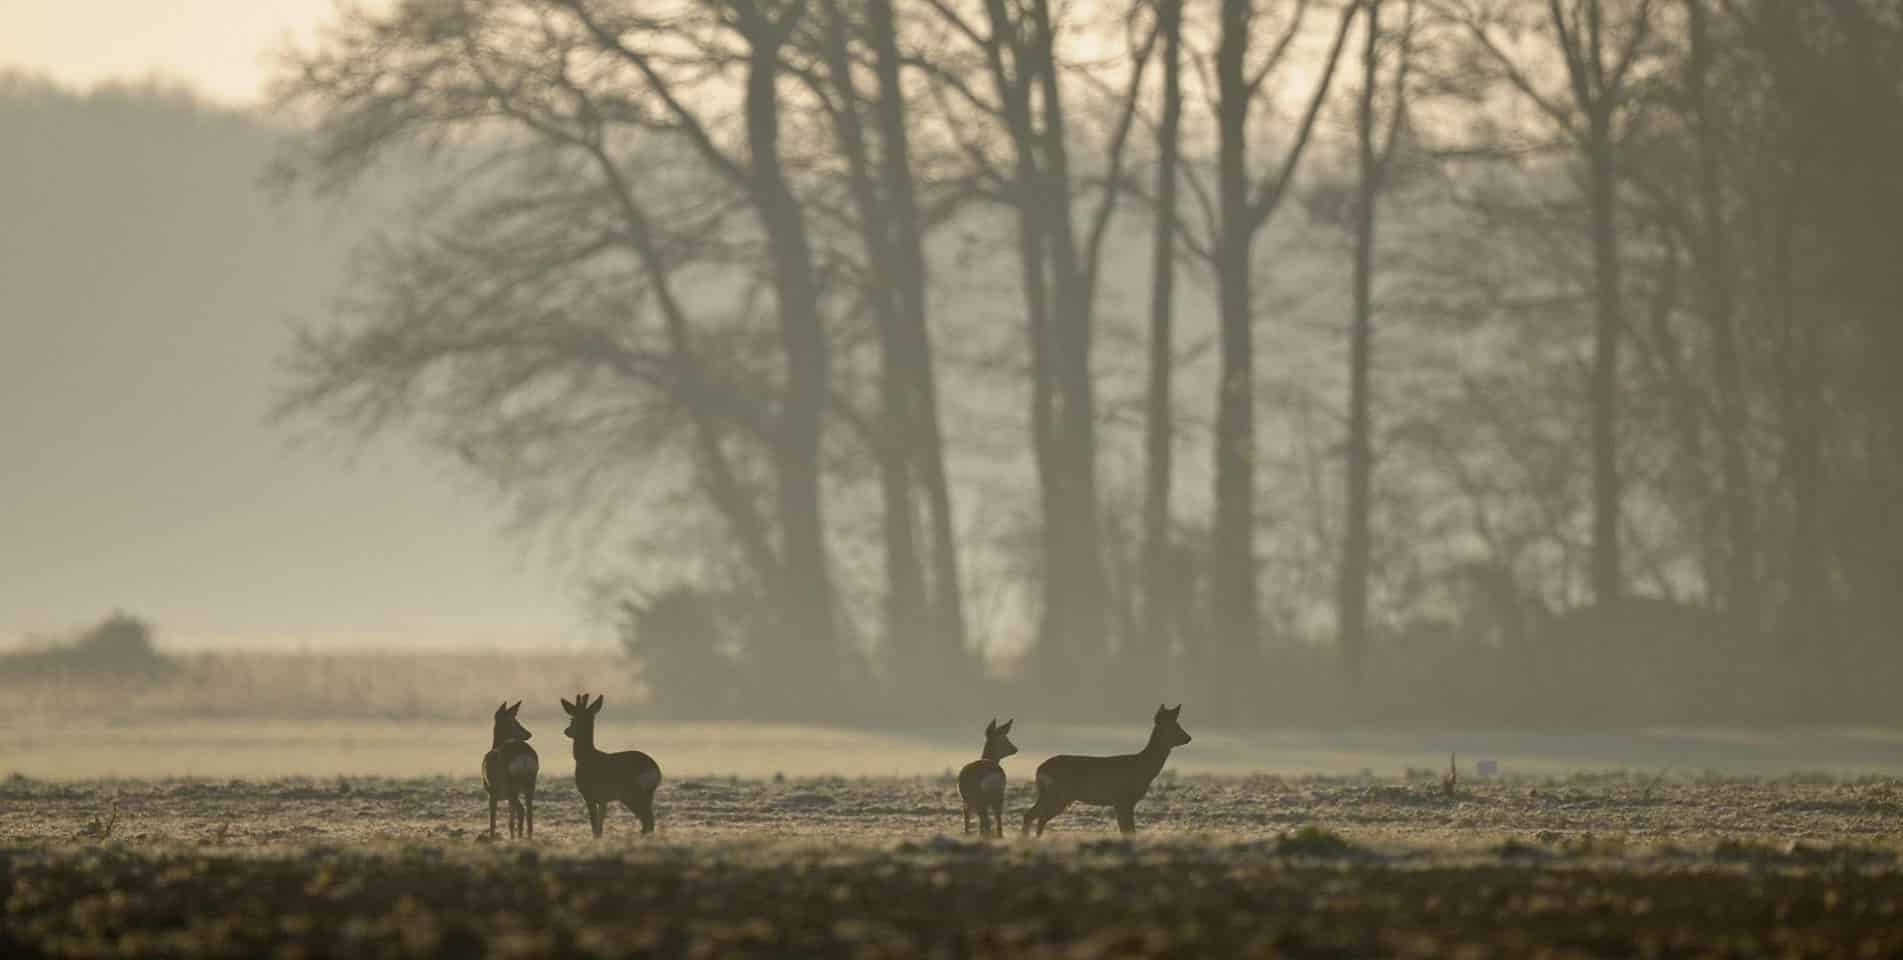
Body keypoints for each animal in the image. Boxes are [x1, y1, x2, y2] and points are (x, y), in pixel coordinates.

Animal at [479, 697, 540, 838]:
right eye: (515, 722)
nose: (528, 734)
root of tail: (524, 757)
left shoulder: (492, 792)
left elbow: (493, 820)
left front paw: (492, 837)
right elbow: (510, 817)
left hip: (510, 786)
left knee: (521, 810)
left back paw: (519, 837)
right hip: (530, 783)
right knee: (528, 811)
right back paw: (526, 836)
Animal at [555, 693, 662, 838]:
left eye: (573, 718)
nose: (567, 731)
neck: (586, 758)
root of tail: (655, 770)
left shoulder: (589, 794)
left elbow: (594, 825)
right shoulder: (603, 799)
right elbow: (600, 826)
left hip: (632, 794)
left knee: (648, 821)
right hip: (646, 794)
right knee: (649, 821)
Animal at [1027, 700, 1187, 838]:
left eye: (1177, 724)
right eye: (1173, 727)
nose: (1188, 737)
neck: (1142, 768)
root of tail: (1039, 769)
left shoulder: (1122, 802)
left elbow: (1127, 830)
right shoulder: (1122, 798)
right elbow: (1128, 830)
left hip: (1053, 795)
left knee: (1037, 817)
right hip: (1058, 794)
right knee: (1033, 815)